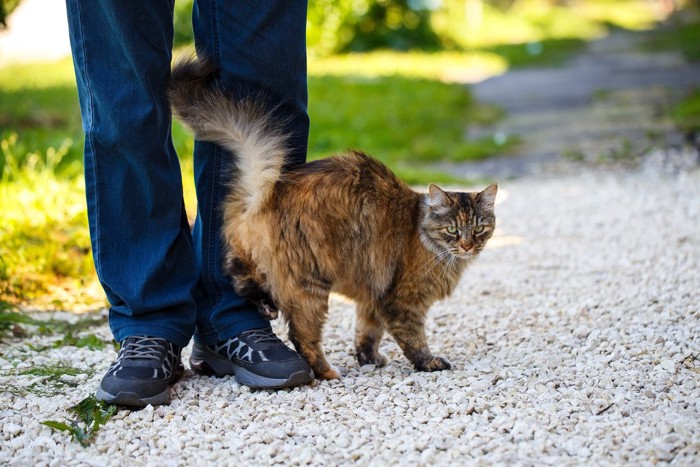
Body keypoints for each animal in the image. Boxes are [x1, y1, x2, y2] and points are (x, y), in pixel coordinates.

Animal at [168, 54, 498, 382]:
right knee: (302, 336)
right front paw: (428, 362)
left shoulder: (373, 298)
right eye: (453, 229)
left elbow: (367, 331)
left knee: (238, 277)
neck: (426, 238)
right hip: (309, 287)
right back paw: (326, 372)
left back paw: (267, 306)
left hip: (256, 260)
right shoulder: (402, 301)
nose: (468, 245)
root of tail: (269, 191)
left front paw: (369, 358)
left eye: (479, 228)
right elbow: (414, 338)